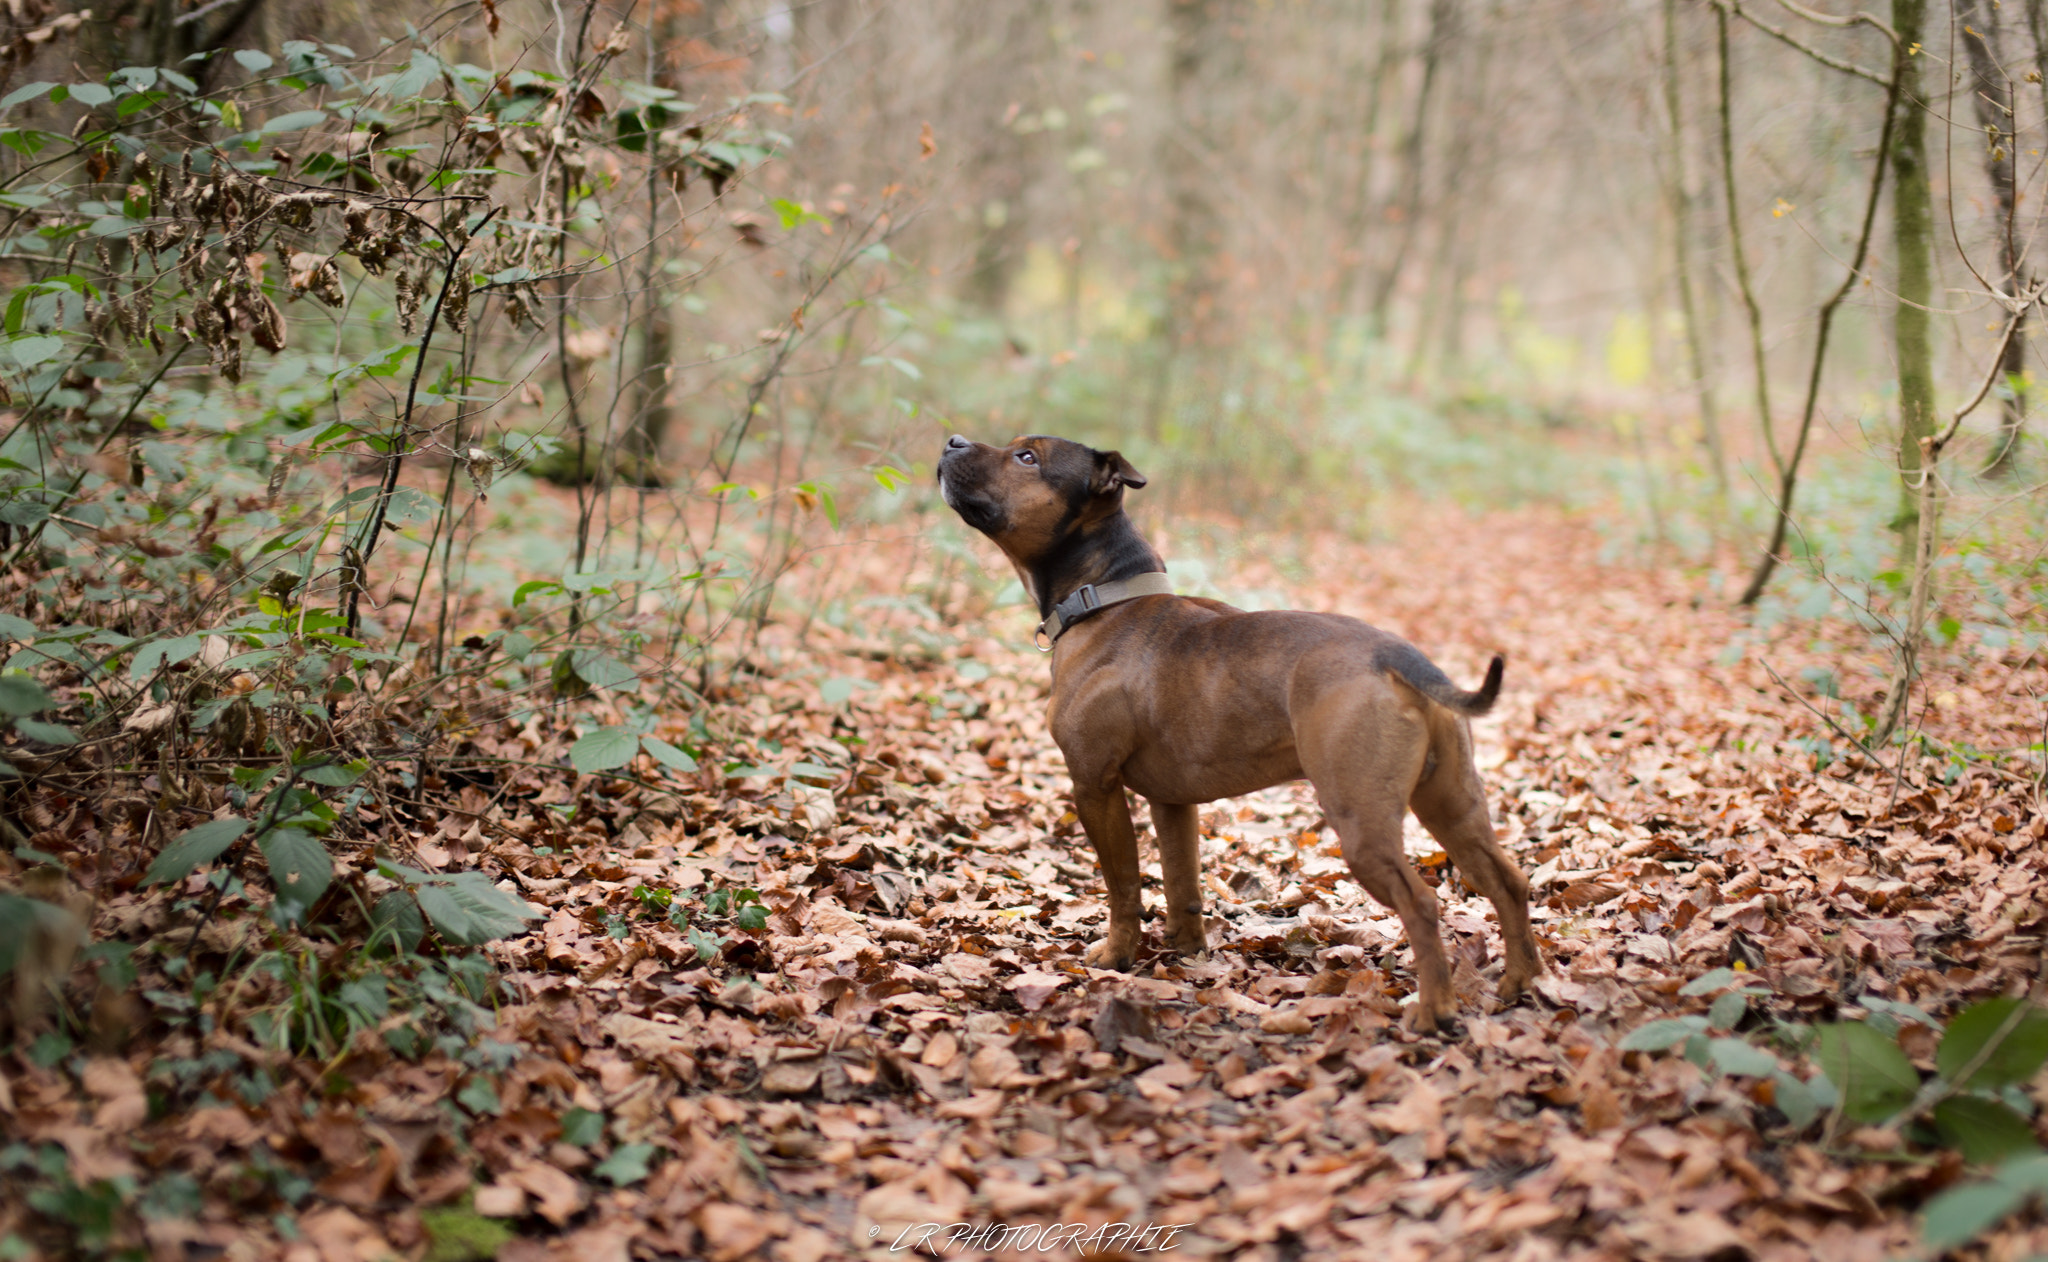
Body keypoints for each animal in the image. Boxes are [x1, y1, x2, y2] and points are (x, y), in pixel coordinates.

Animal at [937, 434, 1540, 1024]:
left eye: (1027, 456)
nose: (952, 441)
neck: (1104, 600)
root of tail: (1394, 655)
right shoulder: (1172, 803)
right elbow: (1181, 881)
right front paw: (1185, 952)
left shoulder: (1094, 787)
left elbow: (1123, 884)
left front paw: (1116, 957)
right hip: (1452, 805)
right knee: (1508, 881)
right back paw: (1518, 982)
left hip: (1363, 819)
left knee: (1421, 903)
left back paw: (1433, 1012)